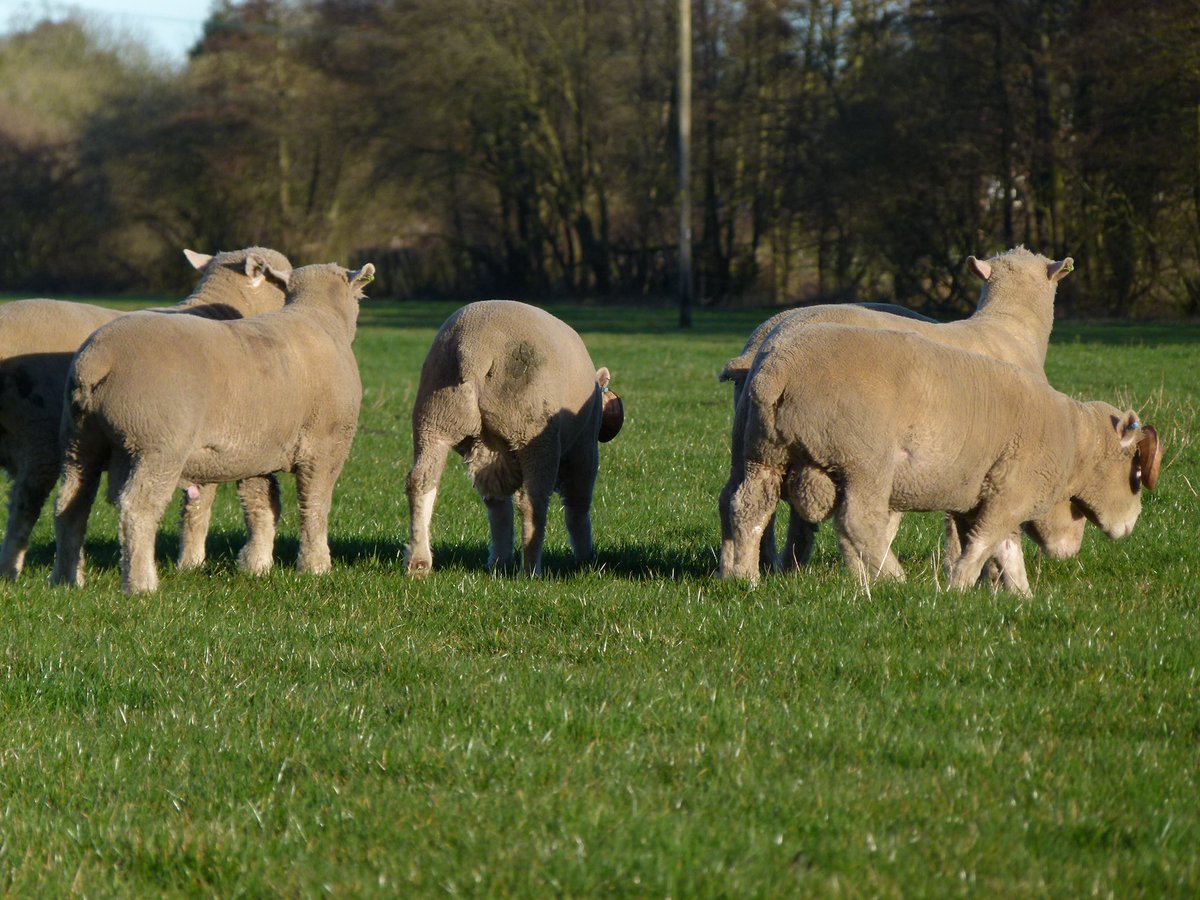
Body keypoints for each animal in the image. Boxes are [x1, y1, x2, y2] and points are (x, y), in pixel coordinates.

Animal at [0, 247, 292, 580]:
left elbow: (196, 506)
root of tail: (95, 363)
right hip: (44, 435)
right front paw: (195, 562)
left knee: (66, 503)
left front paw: (189, 562)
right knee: (25, 504)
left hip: (73, 440)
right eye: (283, 282)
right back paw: (14, 570)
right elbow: (208, 503)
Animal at [51, 262, 374, 594]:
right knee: (137, 509)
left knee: (70, 505)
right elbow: (315, 506)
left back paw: (66, 579)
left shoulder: (256, 452)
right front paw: (315, 567)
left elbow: (262, 506)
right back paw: (141, 584)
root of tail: (97, 360)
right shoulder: (325, 447)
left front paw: (256, 565)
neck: (320, 317)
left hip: (80, 439)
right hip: (157, 445)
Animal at [405, 300, 624, 577]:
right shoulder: (584, 448)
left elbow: (497, 505)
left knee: (421, 483)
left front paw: (499, 560)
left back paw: (419, 562)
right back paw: (531, 570)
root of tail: (474, 349)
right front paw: (587, 559)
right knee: (532, 503)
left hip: (435, 417)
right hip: (534, 431)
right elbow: (578, 506)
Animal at [725, 323, 1162, 595]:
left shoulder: (988, 496)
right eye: (1136, 472)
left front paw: (1021, 597)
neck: (1073, 443)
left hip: (761, 453)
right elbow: (984, 544)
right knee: (858, 522)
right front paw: (958, 588)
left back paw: (742, 577)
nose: (1132, 525)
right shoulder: (1011, 493)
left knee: (746, 507)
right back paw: (894, 579)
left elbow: (1007, 550)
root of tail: (776, 372)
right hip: (864, 462)